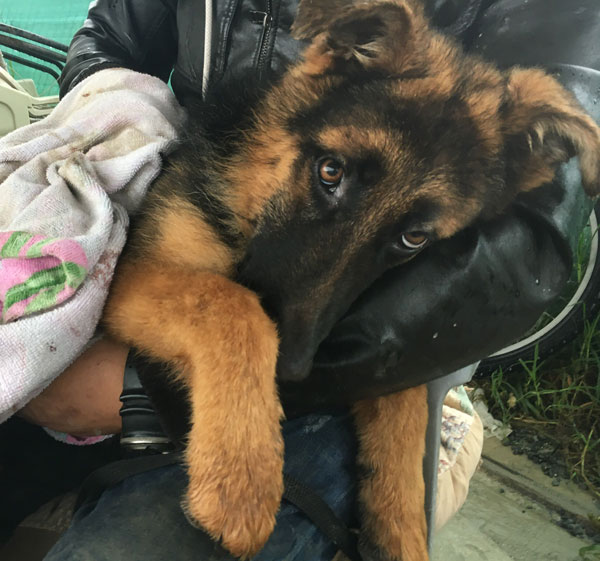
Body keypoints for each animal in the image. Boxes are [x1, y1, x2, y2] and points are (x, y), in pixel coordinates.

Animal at [103, 0, 600, 556]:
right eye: (330, 171)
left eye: (414, 238)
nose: (293, 369)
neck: (254, 189)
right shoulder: (134, 274)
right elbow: (231, 305)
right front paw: (242, 480)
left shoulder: (410, 341)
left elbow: (406, 416)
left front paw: (402, 533)